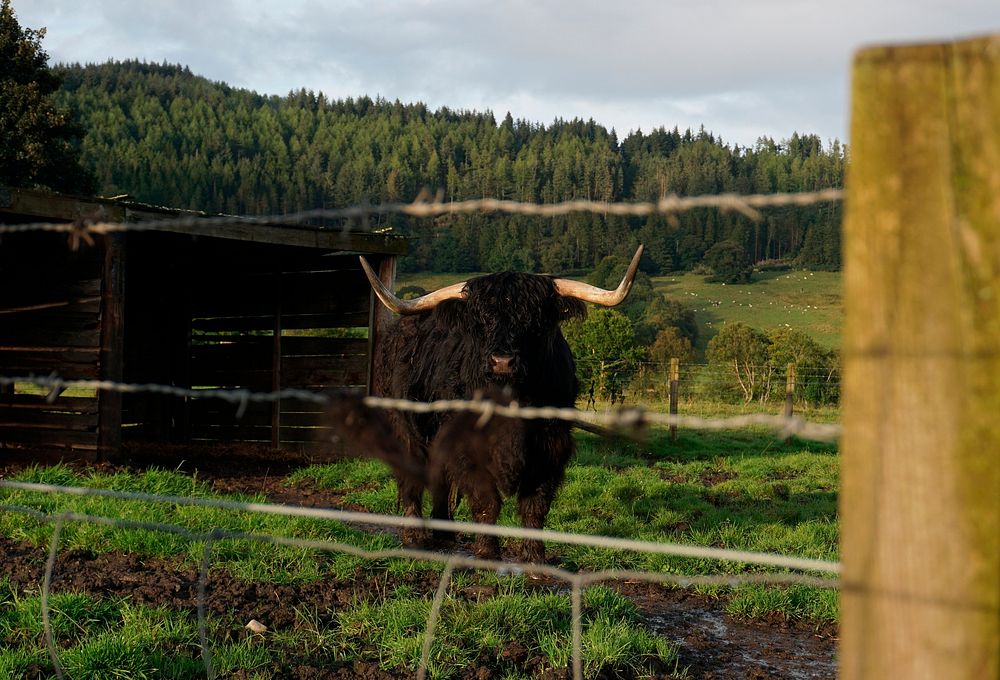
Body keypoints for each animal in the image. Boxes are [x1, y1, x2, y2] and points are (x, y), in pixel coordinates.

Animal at [360, 247, 640, 560]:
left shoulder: (551, 445)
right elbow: (486, 501)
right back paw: (415, 536)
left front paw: (534, 556)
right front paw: (487, 551)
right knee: (411, 475)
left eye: (534, 320)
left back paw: (444, 531)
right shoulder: (466, 444)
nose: (502, 361)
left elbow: (536, 504)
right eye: (480, 321)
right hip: (405, 427)